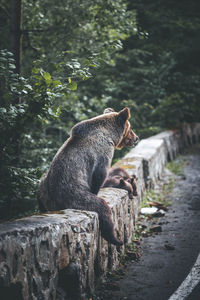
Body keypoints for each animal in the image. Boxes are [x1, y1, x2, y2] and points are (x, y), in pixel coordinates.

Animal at [38, 108, 139, 246]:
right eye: (131, 128)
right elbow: (99, 175)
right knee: (101, 207)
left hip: (43, 187)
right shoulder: (102, 152)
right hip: (74, 196)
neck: (110, 135)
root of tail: (52, 204)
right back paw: (116, 239)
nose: (136, 138)